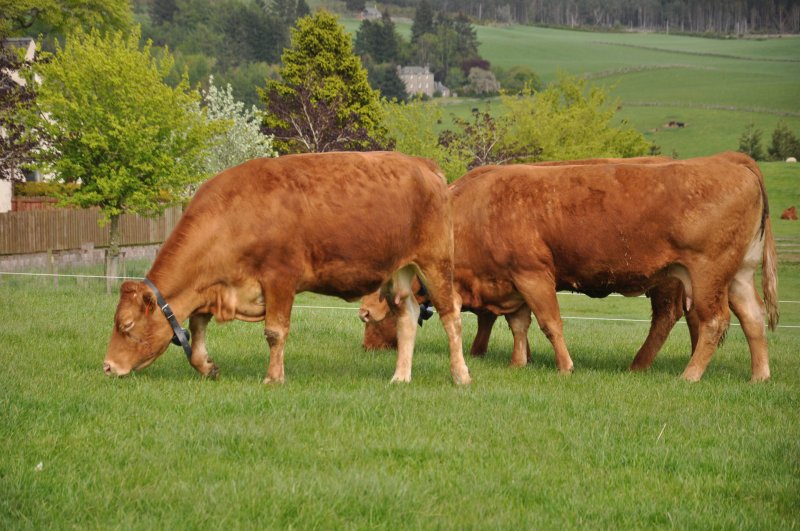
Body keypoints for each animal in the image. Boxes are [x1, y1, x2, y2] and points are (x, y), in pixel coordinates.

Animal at [103, 152, 472, 384]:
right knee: (408, 316)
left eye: (126, 324)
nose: (108, 367)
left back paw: (460, 375)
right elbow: (197, 328)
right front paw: (207, 367)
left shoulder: (279, 279)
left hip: (435, 263)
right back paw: (400, 376)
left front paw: (273, 377)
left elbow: (274, 332)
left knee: (450, 315)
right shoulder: (212, 287)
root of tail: (423, 165)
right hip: (399, 273)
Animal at [360, 153, 776, 382]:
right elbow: (519, 325)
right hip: (736, 276)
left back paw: (687, 374)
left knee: (710, 321)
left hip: (705, 275)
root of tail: (729, 160)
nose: (363, 318)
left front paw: (565, 367)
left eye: (382, 306)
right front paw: (518, 363)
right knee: (751, 319)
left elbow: (549, 323)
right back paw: (758, 376)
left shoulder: (534, 275)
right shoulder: (511, 283)